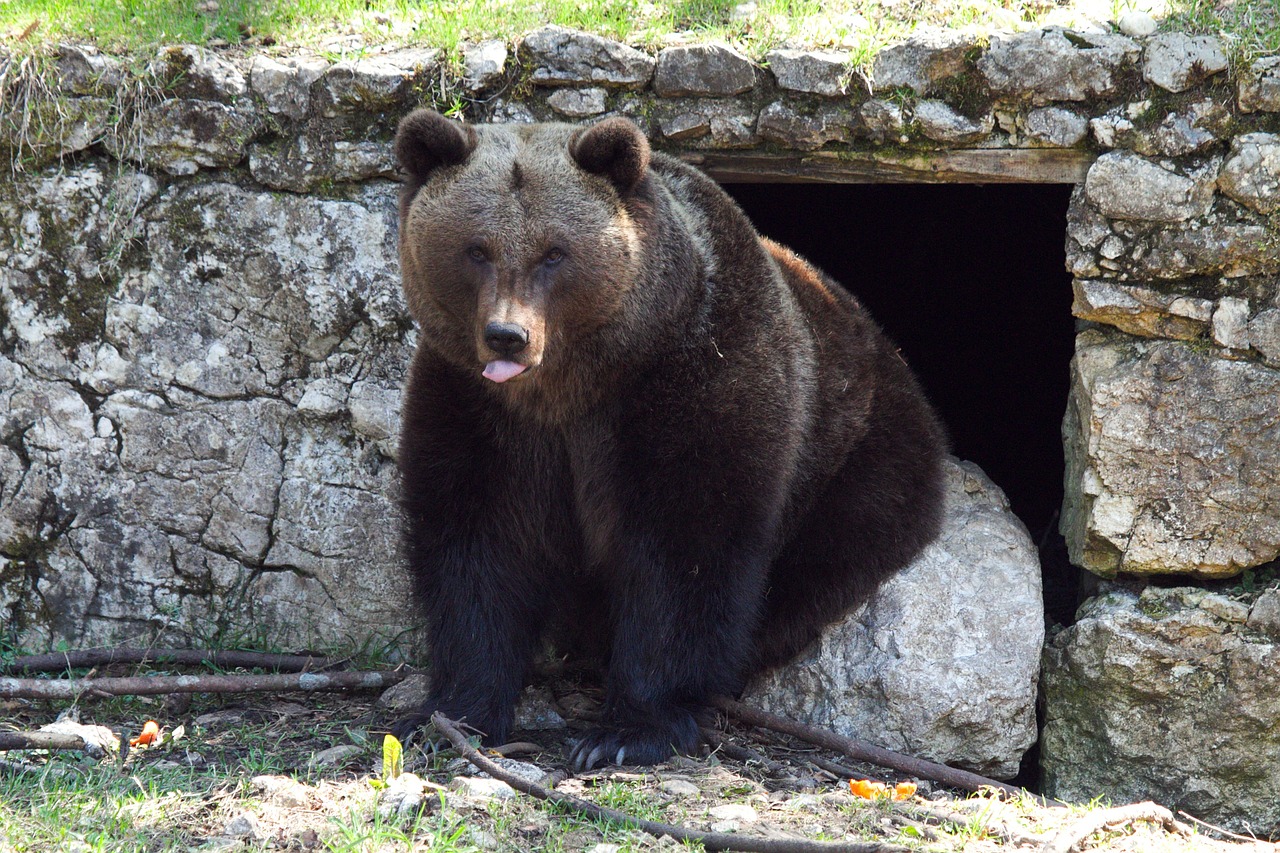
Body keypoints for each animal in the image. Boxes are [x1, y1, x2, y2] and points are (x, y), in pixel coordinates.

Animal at [394, 109, 947, 768]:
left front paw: (626, 732)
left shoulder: (693, 378)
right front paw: (451, 713)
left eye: (555, 252)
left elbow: (684, 548)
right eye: (476, 248)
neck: (574, 389)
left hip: (859, 455)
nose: (508, 335)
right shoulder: (477, 408)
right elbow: (476, 543)